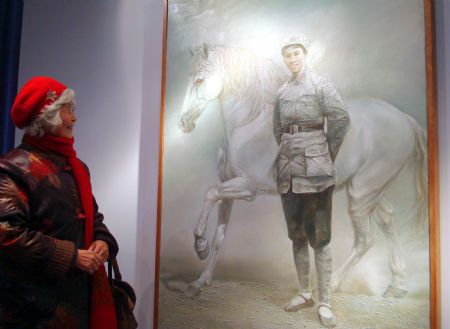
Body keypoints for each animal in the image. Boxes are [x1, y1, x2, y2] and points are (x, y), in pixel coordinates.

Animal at [178, 44, 428, 298]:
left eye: (199, 80)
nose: (183, 122)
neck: (249, 123)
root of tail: (405, 119)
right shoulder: (229, 191)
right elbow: (219, 237)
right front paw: (200, 281)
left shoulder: (246, 187)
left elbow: (210, 194)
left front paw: (200, 246)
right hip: (370, 192)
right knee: (387, 219)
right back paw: (397, 286)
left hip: (361, 194)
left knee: (365, 239)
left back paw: (330, 284)